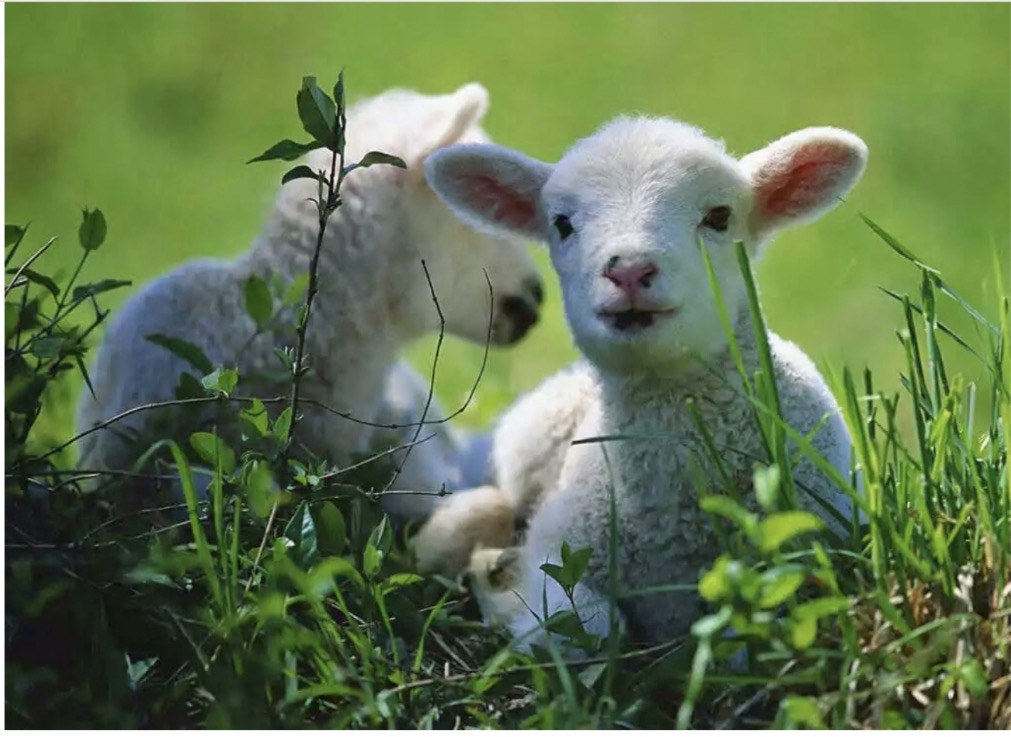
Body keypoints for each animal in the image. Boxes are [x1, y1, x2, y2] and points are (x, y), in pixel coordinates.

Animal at [417, 115, 867, 650]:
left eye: (719, 217)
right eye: (562, 223)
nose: (629, 270)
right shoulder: (559, 548)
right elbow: (586, 627)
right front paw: (505, 596)